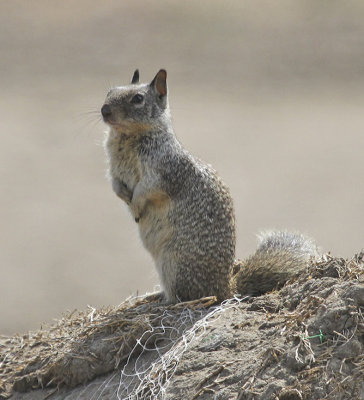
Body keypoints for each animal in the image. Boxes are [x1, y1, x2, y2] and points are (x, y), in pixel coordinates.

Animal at [100, 69, 318, 302]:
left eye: (138, 99)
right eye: (110, 92)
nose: (104, 111)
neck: (127, 137)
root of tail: (227, 288)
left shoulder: (163, 171)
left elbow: (147, 189)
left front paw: (136, 206)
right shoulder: (115, 170)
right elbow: (115, 184)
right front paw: (125, 198)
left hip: (173, 265)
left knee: (187, 294)